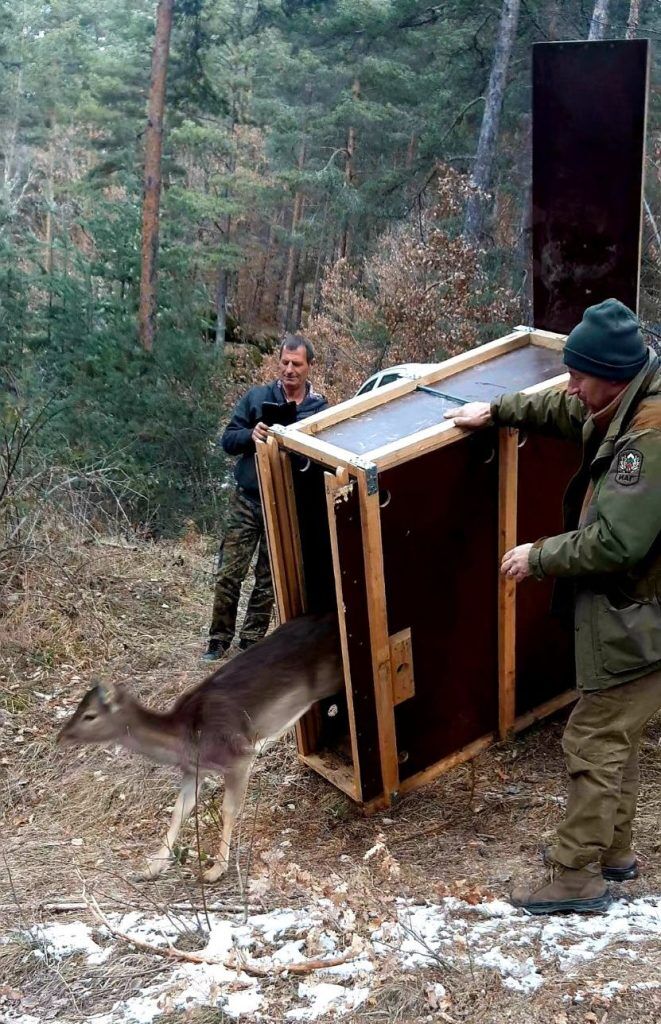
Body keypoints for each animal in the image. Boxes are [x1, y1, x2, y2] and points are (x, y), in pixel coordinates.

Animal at [57, 610, 341, 884]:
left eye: (90, 715)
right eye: (79, 707)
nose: (60, 737)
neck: (186, 738)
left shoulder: (239, 757)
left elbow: (228, 808)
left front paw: (216, 869)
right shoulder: (194, 770)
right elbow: (179, 811)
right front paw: (151, 867)